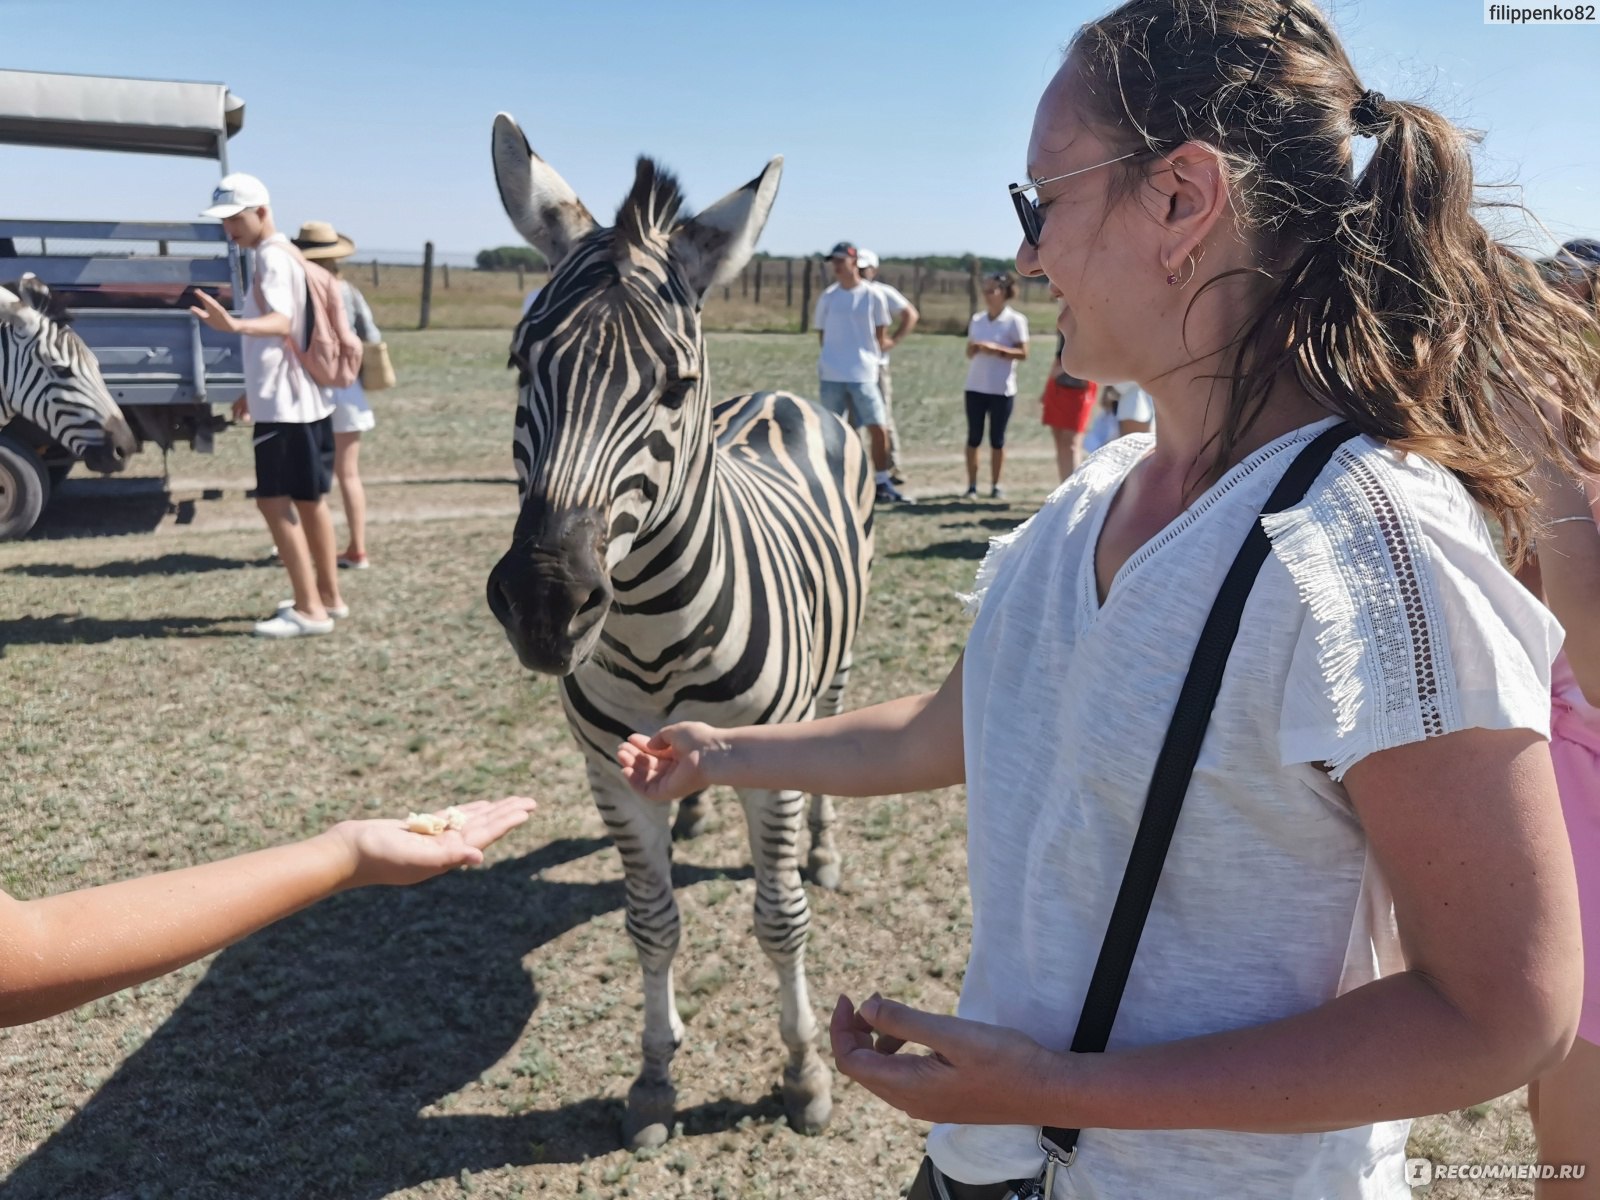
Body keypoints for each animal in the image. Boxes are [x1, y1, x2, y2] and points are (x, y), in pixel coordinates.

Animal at [483, 115, 876, 1158]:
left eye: (678, 383)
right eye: (520, 362)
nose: (545, 603)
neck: (656, 628)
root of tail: (782, 395)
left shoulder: (774, 764)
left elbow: (781, 919)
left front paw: (804, 1073)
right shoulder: (611, 770)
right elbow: (651, 922)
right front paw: (655, 1080)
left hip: (841, 660)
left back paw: (822, 847)